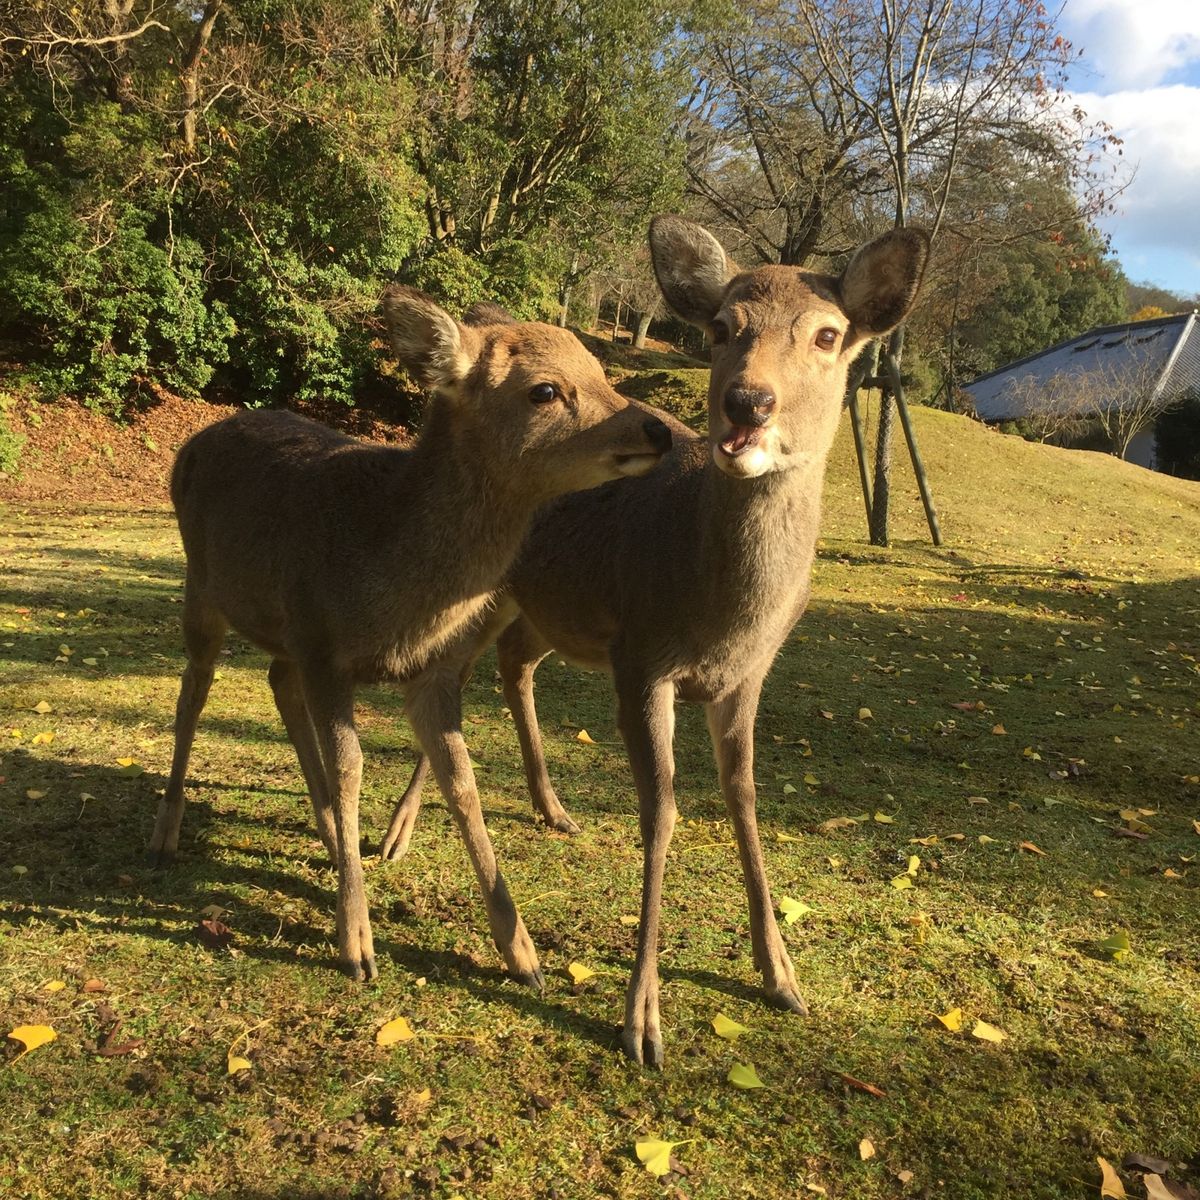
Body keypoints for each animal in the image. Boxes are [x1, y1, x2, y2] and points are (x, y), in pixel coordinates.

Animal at [148, 290, 672, 984]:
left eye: (601, 371)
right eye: (545, 389)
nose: (658, 430)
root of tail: (192, 440)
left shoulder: (427, 670)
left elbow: (463, 781)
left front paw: (522, 953)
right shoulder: (321, 641)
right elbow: (352, 767)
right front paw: (356, 943)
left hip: (280, 635)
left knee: (275, 679)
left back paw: (326, 832)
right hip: (202, 591)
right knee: (193, 692)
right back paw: (166, 833)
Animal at [376, 216, 926, 1060]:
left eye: (829, 335)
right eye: (723, 327)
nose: (748, 402)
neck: (717, 606)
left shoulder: (747, 675)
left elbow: (744, 797)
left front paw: (782, 977)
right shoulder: (640, 657)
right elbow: (661, 813)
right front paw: (642, 1021)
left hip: (541, 608)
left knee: (509, 665)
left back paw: (551, 809)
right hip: (489, 589)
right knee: (453, 677)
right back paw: (396, 836)